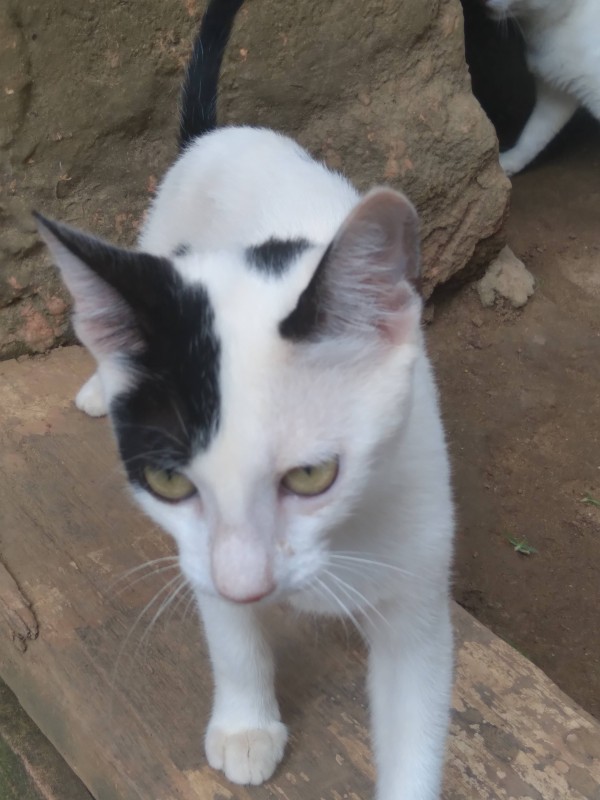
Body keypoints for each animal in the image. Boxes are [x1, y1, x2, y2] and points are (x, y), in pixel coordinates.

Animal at [35, 0, 452, 796]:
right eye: (168, 482)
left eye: (313, 476)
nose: (250, 586)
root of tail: (222, 132)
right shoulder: (199, 552)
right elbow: (226, 629)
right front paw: (246, 724)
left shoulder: (418, 588)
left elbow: (414, 727)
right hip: (160, 240)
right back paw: (103, 381)